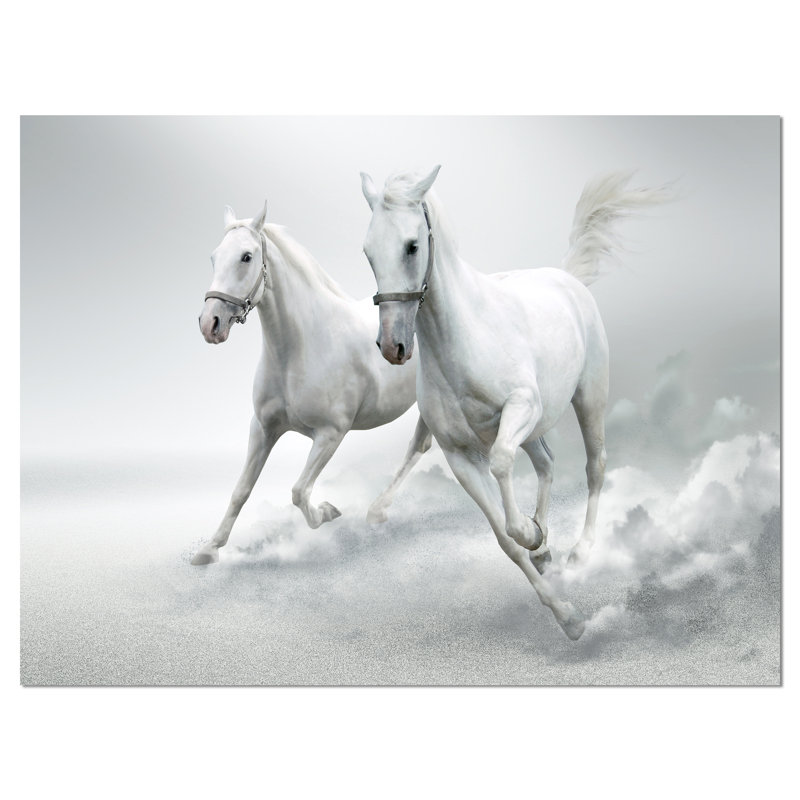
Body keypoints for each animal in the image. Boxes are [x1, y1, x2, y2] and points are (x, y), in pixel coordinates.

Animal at [191, 202, 430, 565]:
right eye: (214, 257)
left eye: (246, 256)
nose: (210, 324)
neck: (302, 348)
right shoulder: (263, 429)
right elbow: (241, 490)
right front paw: (209, 549)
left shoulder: (331, 434)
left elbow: (299, 491)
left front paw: (327, 512)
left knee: (418, 447)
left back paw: (377, 510)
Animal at [360, 167, 669, 639]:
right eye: (368, 252)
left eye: (412, 245)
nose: (392, 346)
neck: (464, 339)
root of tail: (566, 278)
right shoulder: (460, 455)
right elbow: (505, 541)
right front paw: (565, 614)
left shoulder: (520, 408)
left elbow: (503, 465)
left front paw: (530, 532)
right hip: (536, 428)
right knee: (546, 462)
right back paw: (546, 547)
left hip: (588, 397)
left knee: (594, 465)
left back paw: (580, 551)